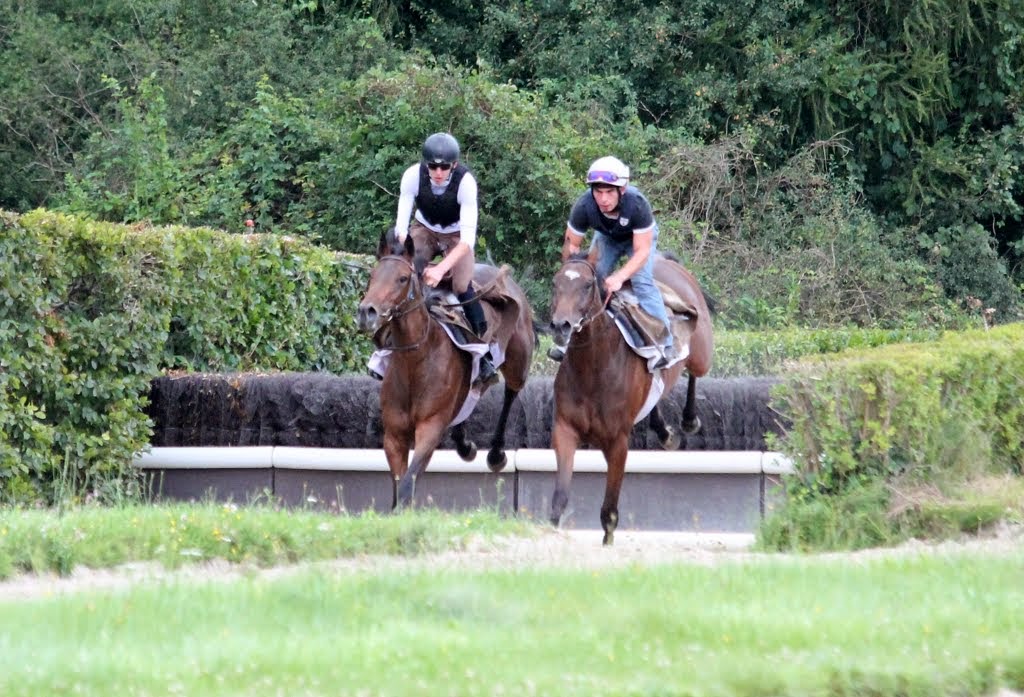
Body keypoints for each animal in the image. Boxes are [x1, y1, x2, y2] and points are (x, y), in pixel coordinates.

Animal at [356, 231, 536, 507]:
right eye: (372, 276)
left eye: (402, 278)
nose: (367, 312)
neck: (415, 361)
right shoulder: (394, 436)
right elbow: (399, 484)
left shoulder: (430, 428)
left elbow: (407, 484)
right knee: (471, 396)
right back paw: (464, 444)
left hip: (518, 362)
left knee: (510, 394)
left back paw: (495, 454)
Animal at [548, 251, 716, 544]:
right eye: (556, 283)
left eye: (587, 285)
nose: (561, 326)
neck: (592, 369)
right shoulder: (565, 430)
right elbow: (560, 498)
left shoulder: (618, 442)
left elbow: (609, 511)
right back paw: (664, 432)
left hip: (701, 353)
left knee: (695, 373)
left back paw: (688, 420)